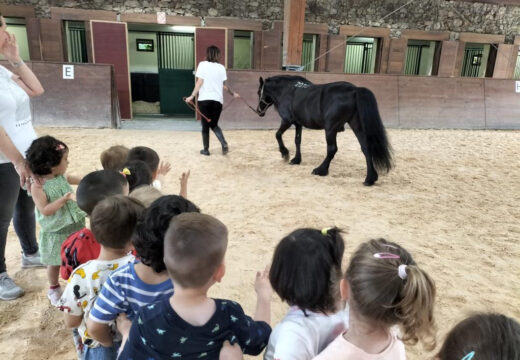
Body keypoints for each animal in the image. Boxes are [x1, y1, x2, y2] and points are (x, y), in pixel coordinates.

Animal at [256, 75, 394, 186]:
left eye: (259, 92)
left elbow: (277, 135)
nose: (259, 111)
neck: (288, 90)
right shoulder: (298, 124)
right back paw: (370, 178)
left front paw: (285, 153)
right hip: (357, 126)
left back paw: (320, 170)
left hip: (330, 129)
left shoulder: (287, 121)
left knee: (332, 149)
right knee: (365, 148)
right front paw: (296, 160)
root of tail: (354, 90)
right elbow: (297, 141)